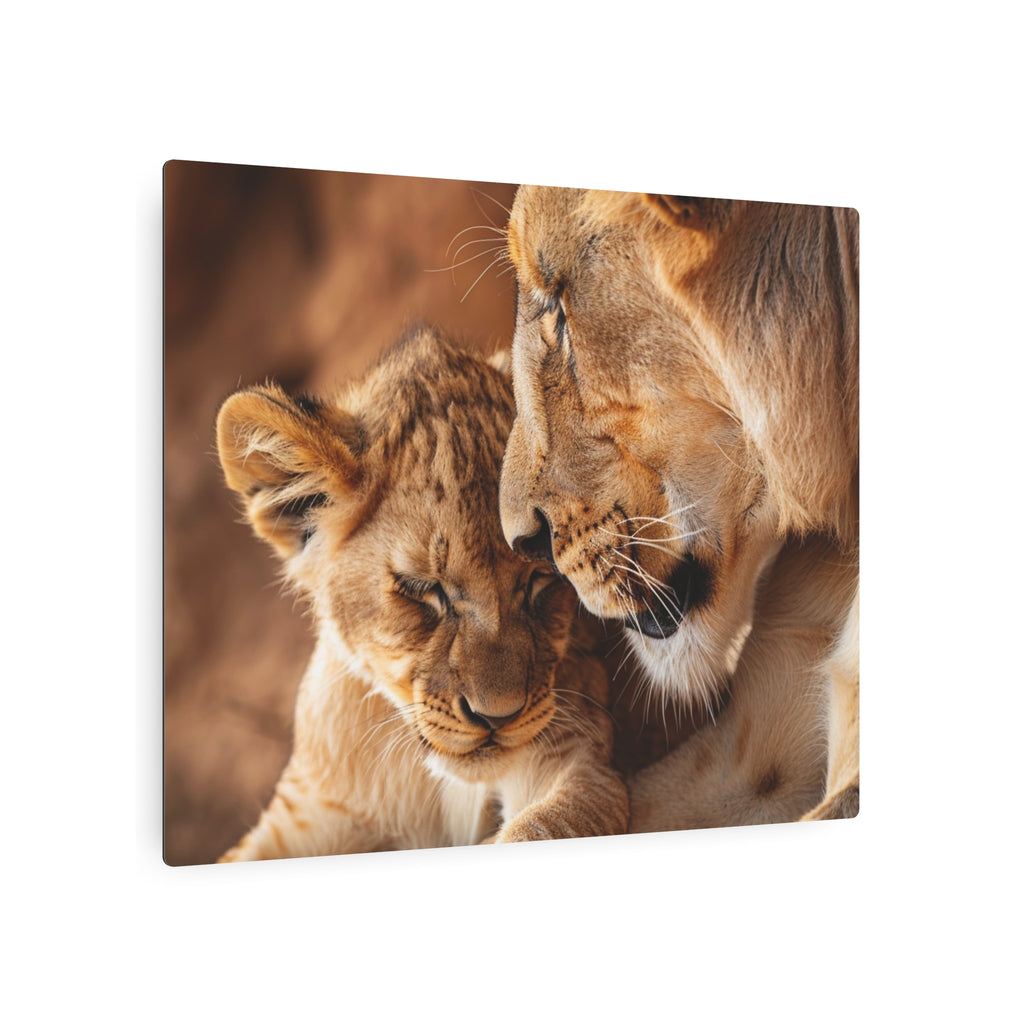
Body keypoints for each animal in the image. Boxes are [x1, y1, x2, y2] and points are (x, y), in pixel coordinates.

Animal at [215, 325, 628, 861]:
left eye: (541, 577)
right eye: (421, 590)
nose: (497, 717)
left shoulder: (581, 765)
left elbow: (541, 825)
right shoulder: (303, 815)